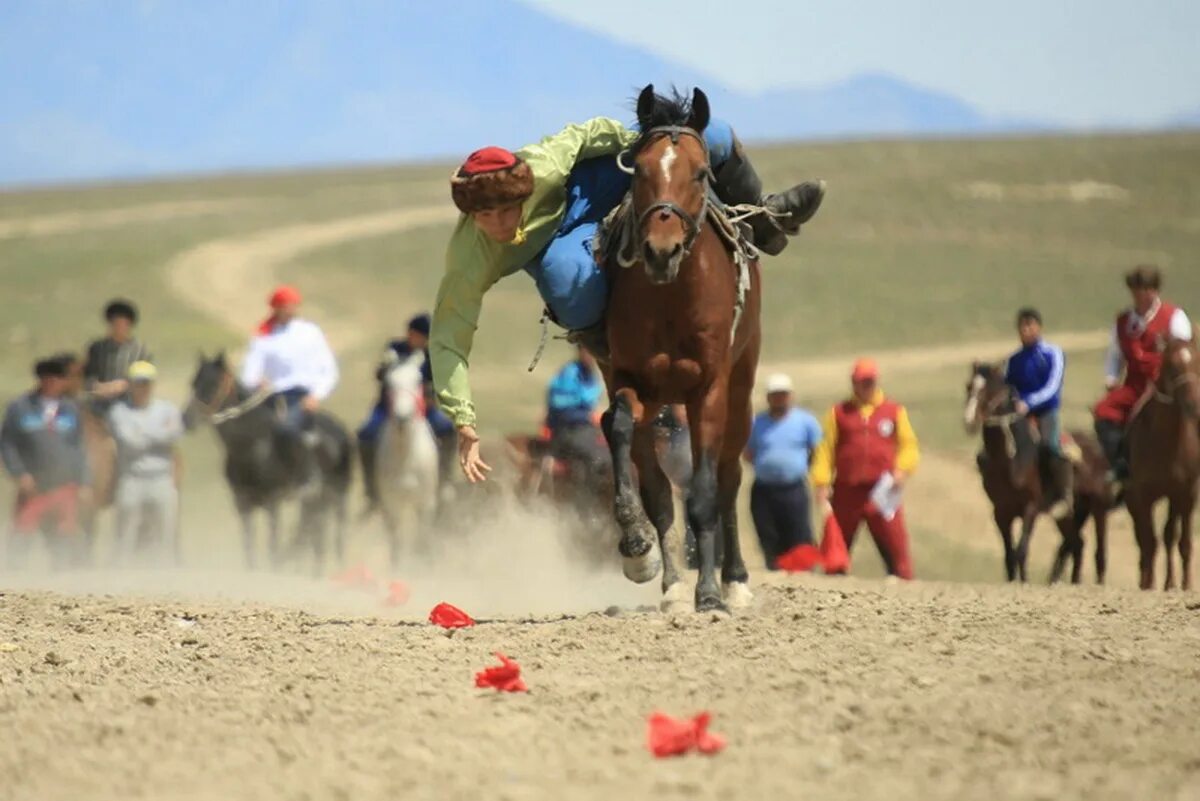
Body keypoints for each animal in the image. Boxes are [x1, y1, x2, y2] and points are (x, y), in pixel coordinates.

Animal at [376, 352, 439, 568]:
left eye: (418, 380)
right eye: (389, 382)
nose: (402, 417)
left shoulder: (425, 502)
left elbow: (424, 536)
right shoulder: (391, 503)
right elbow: (396, 541)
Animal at [600, 86, 758, 613]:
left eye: (701, 172)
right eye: (640, 170)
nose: (661, 250)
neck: (670, 298)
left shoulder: (709, 388)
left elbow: (705, 493)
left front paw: (708, 594)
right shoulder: (630, 378)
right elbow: (620, 430)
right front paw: (636, 543)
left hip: (742, 387)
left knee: (728, 479)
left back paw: (734, 580)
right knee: (657, 485)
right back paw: (670, 584)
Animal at [964, 362, 1113, 582]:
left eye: (989, 390)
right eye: (969, 387)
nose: (969, 421)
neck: (1010, 460)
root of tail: (1098, 451)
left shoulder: (1030, 508)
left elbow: (1021, 551)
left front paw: (1024, 582)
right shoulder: (1001, 513)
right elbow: (1009, 557)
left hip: (1098, 508)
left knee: (1099, 554)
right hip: (1068, 515)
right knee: (1077, 544)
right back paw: (1072, 582)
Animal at [1123, 335, 1200, 592]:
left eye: (1198, 362)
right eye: (1172, 365)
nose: (1194, 405)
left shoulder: (1185, 493)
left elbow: (1180, 540)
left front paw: (1181, 584)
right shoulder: (1143, 494)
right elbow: (1150, 541)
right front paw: (1150, 583)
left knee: (1167, 536)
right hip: (1132, 500)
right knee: (1143, 538)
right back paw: (1145, 579)